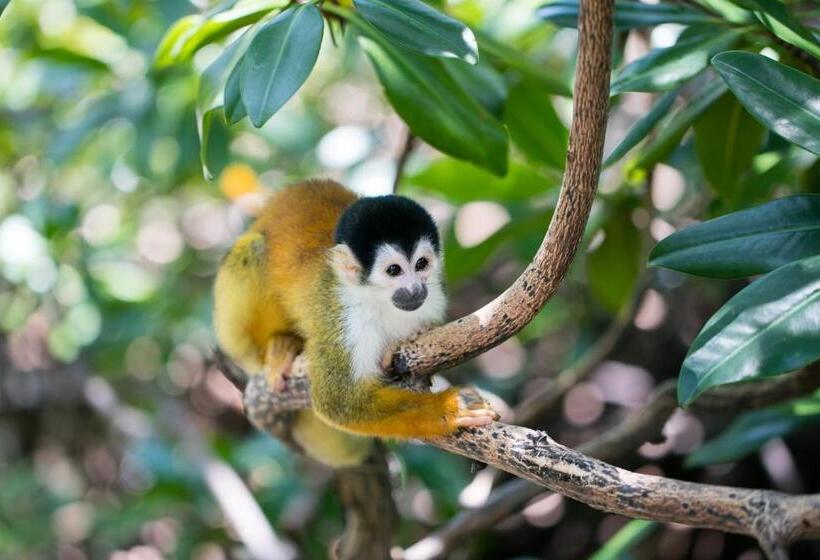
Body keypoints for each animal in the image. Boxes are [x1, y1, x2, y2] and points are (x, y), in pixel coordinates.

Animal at [213, 179, 496, 466]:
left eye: (421, 264)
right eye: (393, 270)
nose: (415, 289)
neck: (378, 300)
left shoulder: (434, 297)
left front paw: (410, 337)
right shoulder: (344, 320)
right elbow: (338, 402)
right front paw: (452, 407)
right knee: (251, 250)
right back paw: (280, 346)